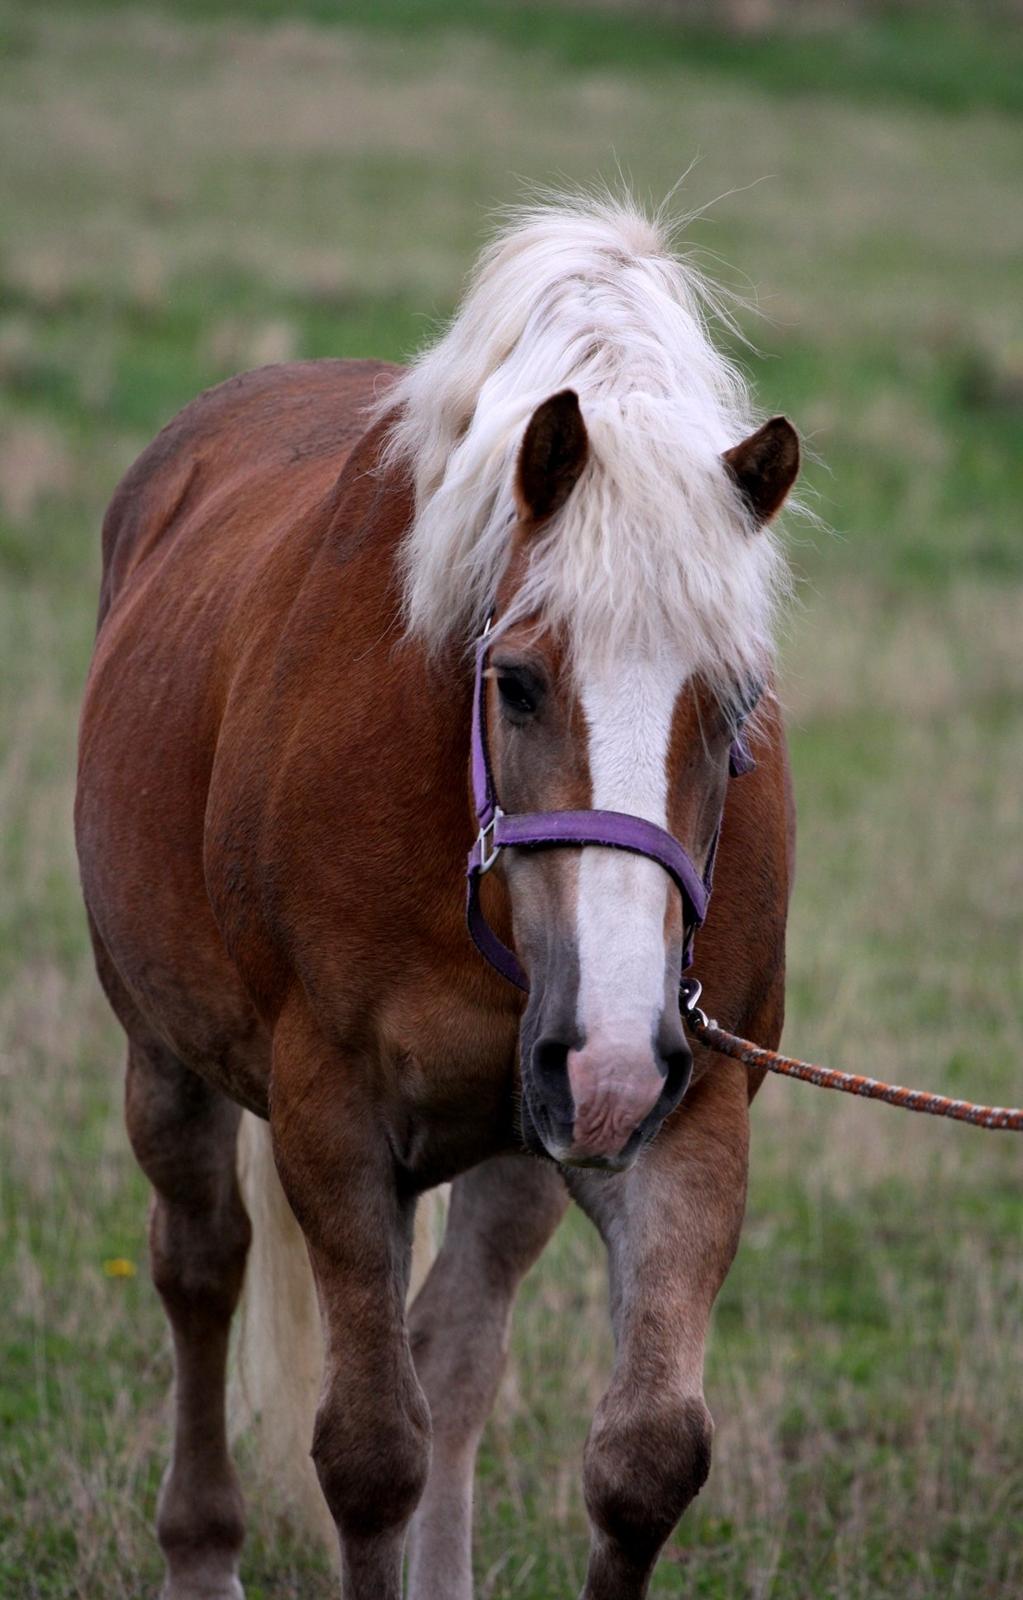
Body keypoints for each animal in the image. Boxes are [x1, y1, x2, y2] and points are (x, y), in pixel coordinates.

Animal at [76, 200, 803, 1600]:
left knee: (458, 1343)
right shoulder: (333, 1114)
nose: (616, 1051)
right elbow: (369, 1455)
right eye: (514, 680)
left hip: (526, 1138)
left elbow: (645, 1459)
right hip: (165, 1058)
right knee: (201, 1267)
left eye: (737, 697)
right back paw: (201, 1548)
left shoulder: (686, 1115)